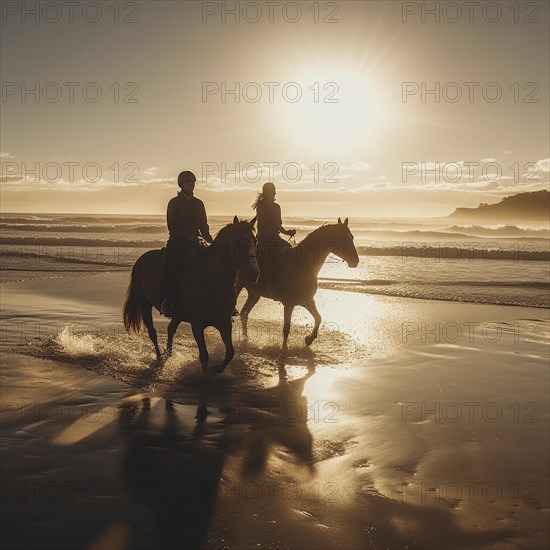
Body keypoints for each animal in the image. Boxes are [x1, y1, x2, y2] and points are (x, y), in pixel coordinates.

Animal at [124, 218, 260, 374]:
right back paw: (159, 357)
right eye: (238, 241)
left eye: (255, 241)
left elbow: (230, 352)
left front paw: (217, 369)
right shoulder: (197, 325)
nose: (254, 274)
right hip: (144, 304)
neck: (213, 279)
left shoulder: (224, 322)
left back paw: (168, 353)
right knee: (152, 332)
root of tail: (140, 260)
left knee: (171, 329)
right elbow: (204, 356)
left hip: (177, 314)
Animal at [238, 217, 362, 350]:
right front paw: (285, 348)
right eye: (343, 238)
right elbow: (286, 328)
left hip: (254, 293)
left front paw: (309, 339)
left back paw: (245, 339)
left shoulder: (307, 300)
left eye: (352, 237)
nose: (355, 261)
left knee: (244, 313)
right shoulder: (289, 303)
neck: (302, 265)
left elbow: (318, 318)